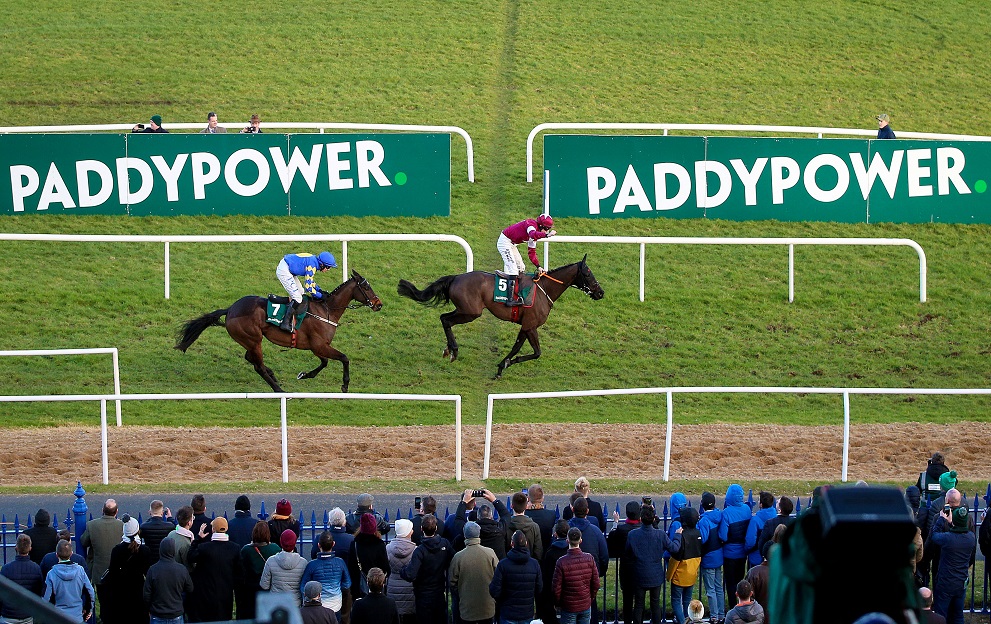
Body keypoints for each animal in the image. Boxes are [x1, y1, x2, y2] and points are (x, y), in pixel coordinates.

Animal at [175, 270, 384, 392]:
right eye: (366, 286)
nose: (378, 304)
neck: (326, 310)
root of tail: (231, 309)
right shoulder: (319, 345)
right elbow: (344, 358)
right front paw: (345, 384)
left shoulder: (317, 346)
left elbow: (324, 363)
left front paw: (304, 375)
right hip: (253, 339)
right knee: (257, 365)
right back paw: (279, 390)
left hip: (249, 341)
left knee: (251, 358)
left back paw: (273, 375)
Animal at [398, 255, 604, 380]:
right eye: (588, 273)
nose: (601, 292)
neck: (544, 290)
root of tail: (456, 277)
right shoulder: (530, 326)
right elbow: (536, 352)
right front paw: (503, 364)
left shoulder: (526, 326)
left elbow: (518, 348)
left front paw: (502, 365)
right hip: (471, 312)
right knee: (445, 319)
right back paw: (453, 350)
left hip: (466, 311)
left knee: (444, 318)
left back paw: (448, 349)